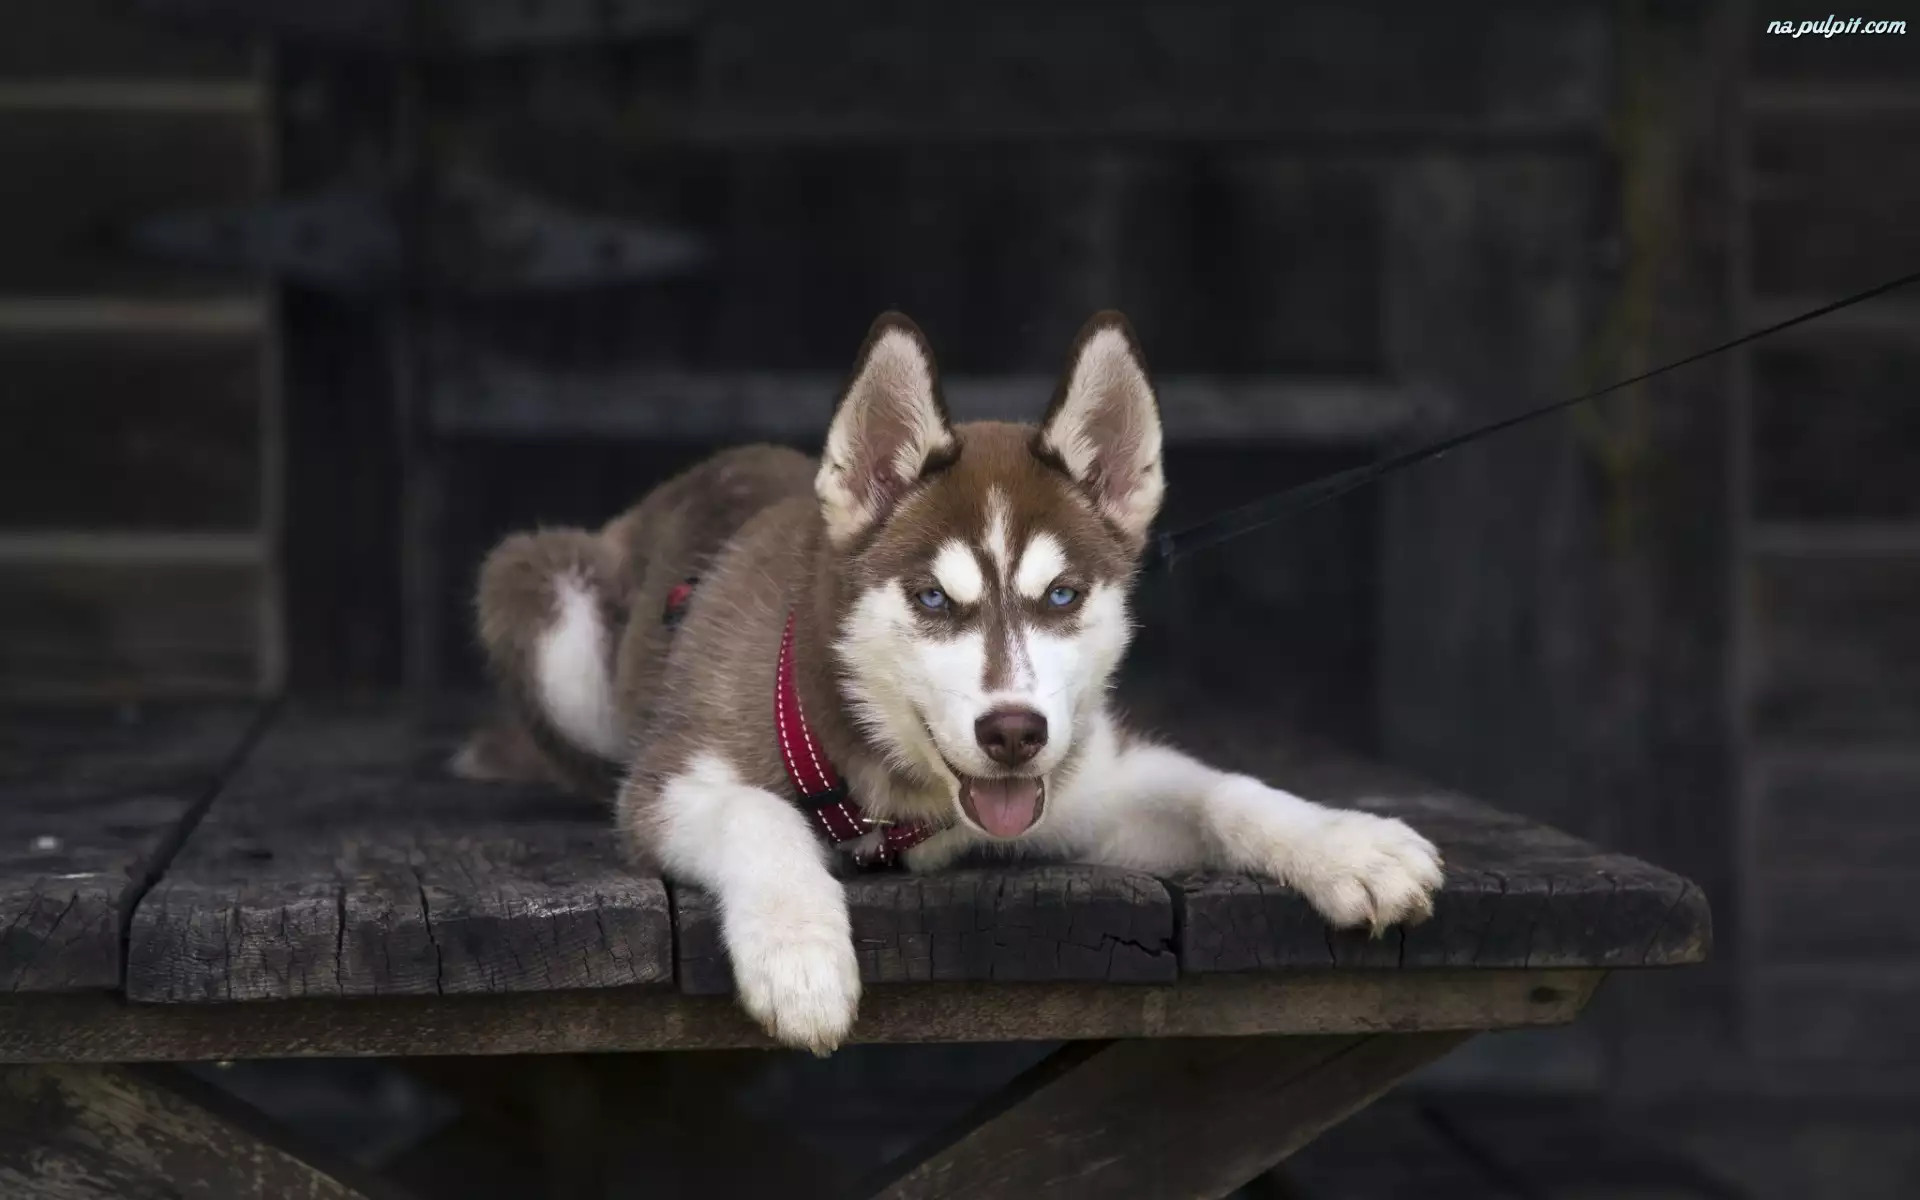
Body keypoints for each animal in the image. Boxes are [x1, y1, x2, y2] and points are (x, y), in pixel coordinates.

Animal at [456, 312, 1443, 1052]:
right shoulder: (674, 779)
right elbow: (759, 814)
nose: (1014, 733)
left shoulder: (1087, 785)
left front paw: (1351, 845)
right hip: (539, 592)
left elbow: (1220, 791)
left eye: (1062, 596)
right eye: (933, 598)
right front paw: (800, 956)